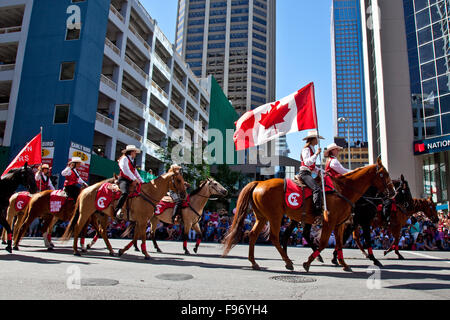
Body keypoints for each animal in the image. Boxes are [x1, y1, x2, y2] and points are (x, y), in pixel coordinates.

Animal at [223, 158, 396, 272]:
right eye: (383, 174)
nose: (393, 192)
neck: (343, 190)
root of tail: (259, 182)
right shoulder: (330, 221)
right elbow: (324, 243)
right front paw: (308, 262)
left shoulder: (339, 224)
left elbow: (339, 243)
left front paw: (343, 263)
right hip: (275, 217)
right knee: (275, 237)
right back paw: (288, 262)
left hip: (262, 217)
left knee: (253, 235)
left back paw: (254, 263)